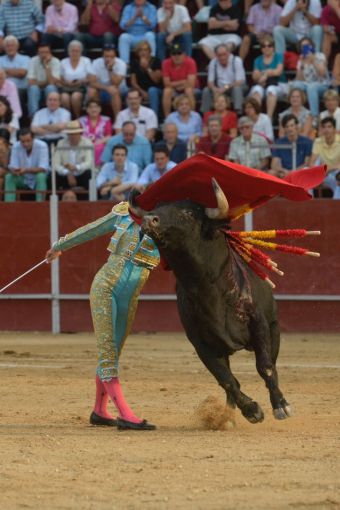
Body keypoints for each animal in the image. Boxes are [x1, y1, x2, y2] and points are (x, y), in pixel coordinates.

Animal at [130, 181, 292, 424]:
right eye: (157, 206)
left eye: (188, 213)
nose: (150, 219)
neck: (206, 285)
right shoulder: (201, 343)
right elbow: (226, 380)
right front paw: (251, 410)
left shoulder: (259, 324)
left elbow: (265, 367)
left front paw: (281, 406)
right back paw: (227, 415)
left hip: (275, 330)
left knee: (271, 364)